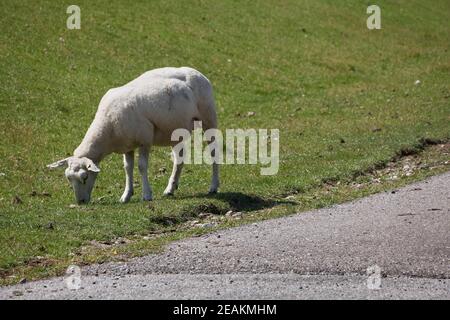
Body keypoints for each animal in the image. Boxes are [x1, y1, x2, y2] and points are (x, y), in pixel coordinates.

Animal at [47, 66, 220, 204]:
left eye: (84, 177)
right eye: (68, 178)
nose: (81, 202)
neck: (107, 126)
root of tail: (195, 71)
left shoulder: (145, 139)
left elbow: (142, 166)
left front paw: (146, 195)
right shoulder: (127, 145)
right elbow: (127, 168)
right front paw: (126, 195)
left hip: (208, 116)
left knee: (213, 151)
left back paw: (213, 186)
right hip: (176, 131)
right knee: (179, 160)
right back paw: (170, 189)